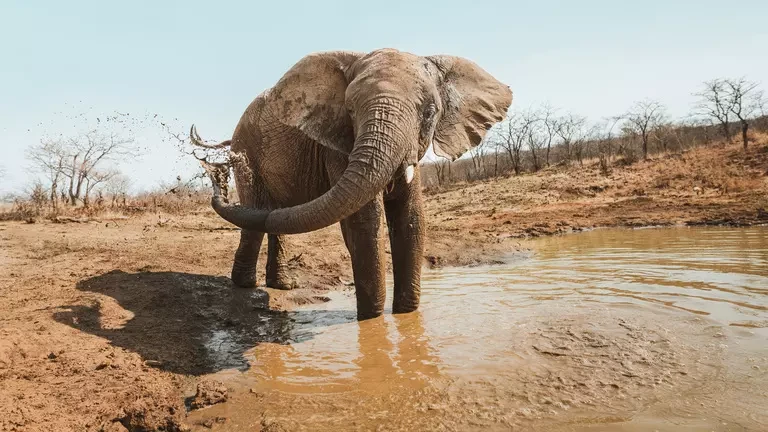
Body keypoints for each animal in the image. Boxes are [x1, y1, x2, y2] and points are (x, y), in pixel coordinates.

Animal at [192, 49, 512, 320]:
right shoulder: (336, 145)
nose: (216, 177)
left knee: (273, 214)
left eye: (430, 111)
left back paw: (283, 285)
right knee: (257, 210)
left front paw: (405, 317)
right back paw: (246, 284)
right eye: (350, 110)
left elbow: (411, 218)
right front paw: (371, 321)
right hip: (247, 148)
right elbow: (365, 220)